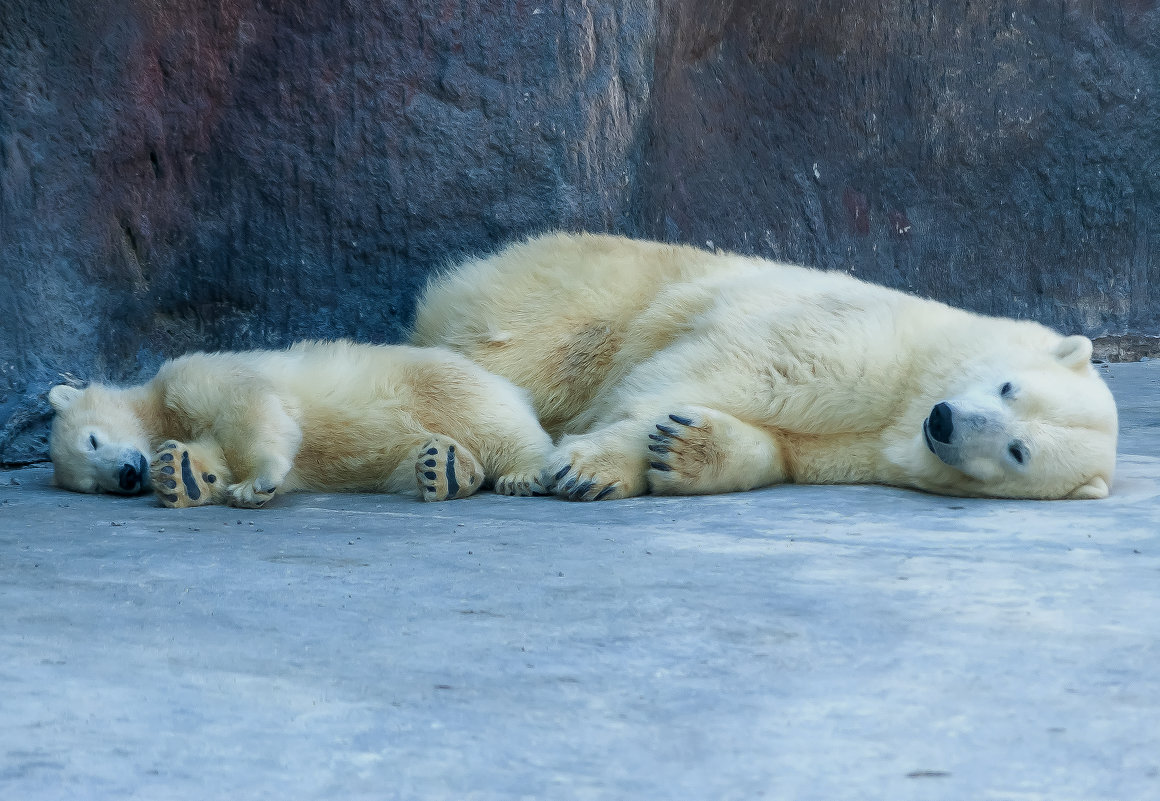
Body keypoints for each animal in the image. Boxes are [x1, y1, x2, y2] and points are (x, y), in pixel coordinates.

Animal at [46, 340, 552, 507]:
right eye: (93, 486)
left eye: (92, 440)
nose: (127, 475)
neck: (156, 407)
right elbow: (211, 459)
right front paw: (178, 474)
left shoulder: (191, 375)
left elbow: (248, 406)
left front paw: (257, 482)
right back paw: (442, 470)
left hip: (429, 380)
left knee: (483, 415)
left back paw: (522, 472)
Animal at [412, 228, 1118, 500]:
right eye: (1008, 386)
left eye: (1019, 452)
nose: (943, 422)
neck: (911, 384)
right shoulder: (851, 340)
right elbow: (718, 371)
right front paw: (588, 468)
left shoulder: (857, 450)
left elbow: (779, 448)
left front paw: (685, 448)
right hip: (567, 303)